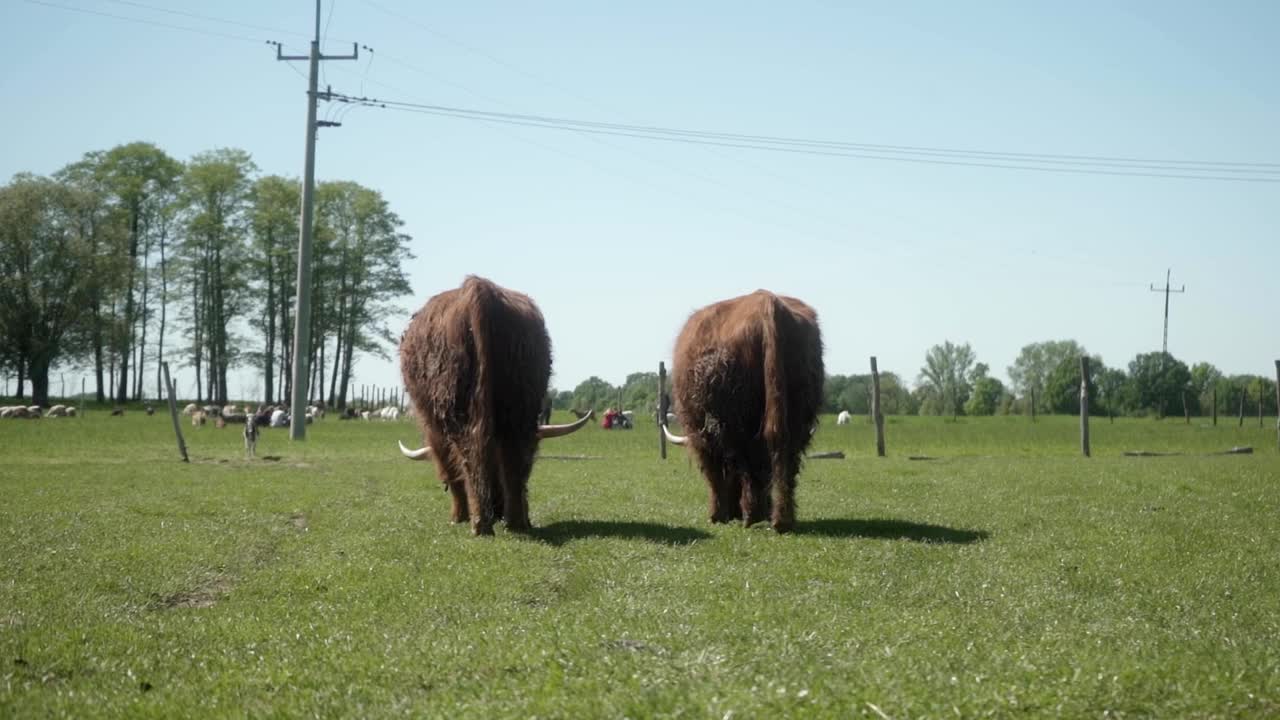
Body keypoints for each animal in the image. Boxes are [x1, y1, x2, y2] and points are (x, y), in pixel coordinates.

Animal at [396, 274, 591, 532]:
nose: (497, 510)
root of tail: (478, 287)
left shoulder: (432, 428)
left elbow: (449, 469)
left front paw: (457, 516)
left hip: (455, 406)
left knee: (471, 455)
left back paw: (480, 525)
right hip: (520, 405)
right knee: (515, 459)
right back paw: (516, 521)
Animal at [665, 288, 824, 530]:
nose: (731, 513)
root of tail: (768, 303)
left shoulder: (700, 434)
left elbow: (713, 472)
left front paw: (716, 515)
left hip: (739, 419)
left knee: (749, 461)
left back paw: (752, 516)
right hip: (797, 411)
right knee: (784, 455)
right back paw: (781, 519)